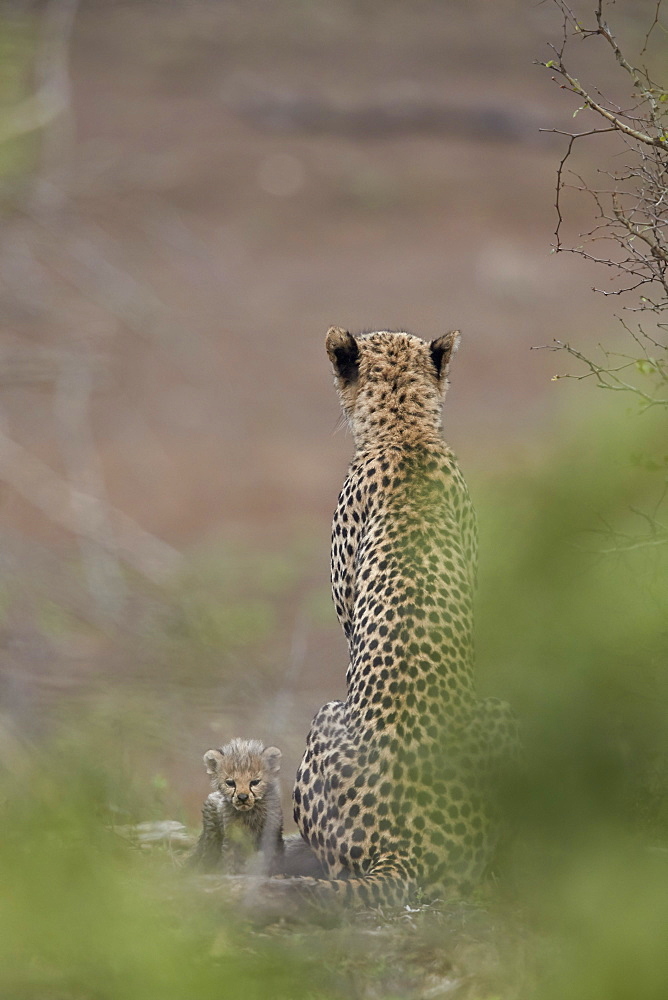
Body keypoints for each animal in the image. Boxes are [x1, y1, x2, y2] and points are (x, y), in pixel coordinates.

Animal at [188, 736, 284, 876]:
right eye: (230, 783)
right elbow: (231, 860)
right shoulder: (232, 839)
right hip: (212, 836)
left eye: (255, 782)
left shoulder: (272, 835)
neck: (250, 814)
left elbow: (273, 859)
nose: (242, 797)